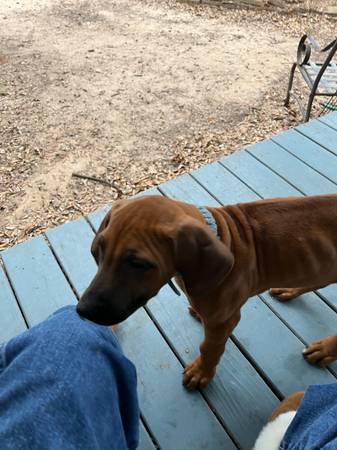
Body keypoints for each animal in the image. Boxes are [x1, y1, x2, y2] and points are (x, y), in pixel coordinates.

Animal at [77, 194, 336, 390]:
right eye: (98, 250)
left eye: (138, 264)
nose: (82, 311)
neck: (220, 230)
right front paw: (198, 313)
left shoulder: (224, 320)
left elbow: (210, 348)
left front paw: (201, 372)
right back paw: (291, 290)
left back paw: (325, 349)